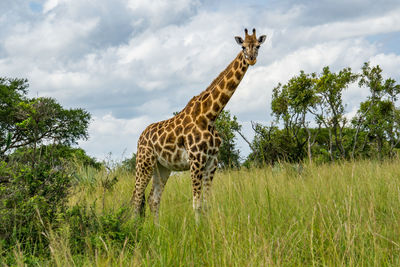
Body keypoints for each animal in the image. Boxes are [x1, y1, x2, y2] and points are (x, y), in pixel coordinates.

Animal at [133, 28, 268, 223]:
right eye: (243, 46)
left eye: (258, 45)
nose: (251, 58)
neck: (209, 116)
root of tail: (140, 136)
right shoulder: (196, 159)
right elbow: (196, 204)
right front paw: (198, 230)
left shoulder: (212, 162)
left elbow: (207, 203)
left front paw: (207, 227)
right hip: (144, 163)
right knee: (136, 200)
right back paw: (136, 228)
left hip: (162, 167)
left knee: (153, 199)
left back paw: (157, 229)